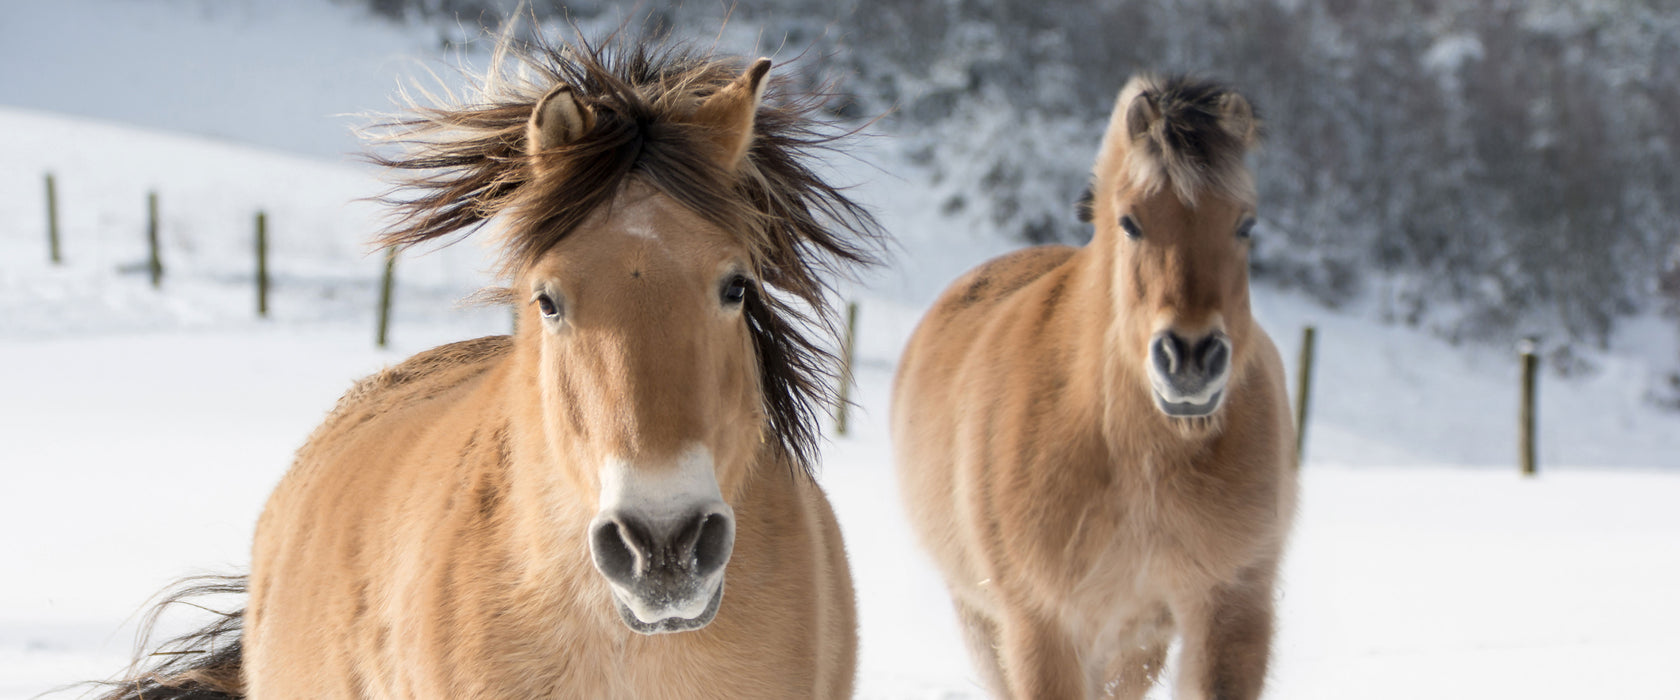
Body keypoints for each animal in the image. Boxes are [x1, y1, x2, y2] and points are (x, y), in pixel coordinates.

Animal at [893, 73, 1296, 694]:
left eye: (1245, 223)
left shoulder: (1231, 609)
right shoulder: (1042, 627)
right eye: (1131, 222)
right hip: (984, 622)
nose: (1190, 358)